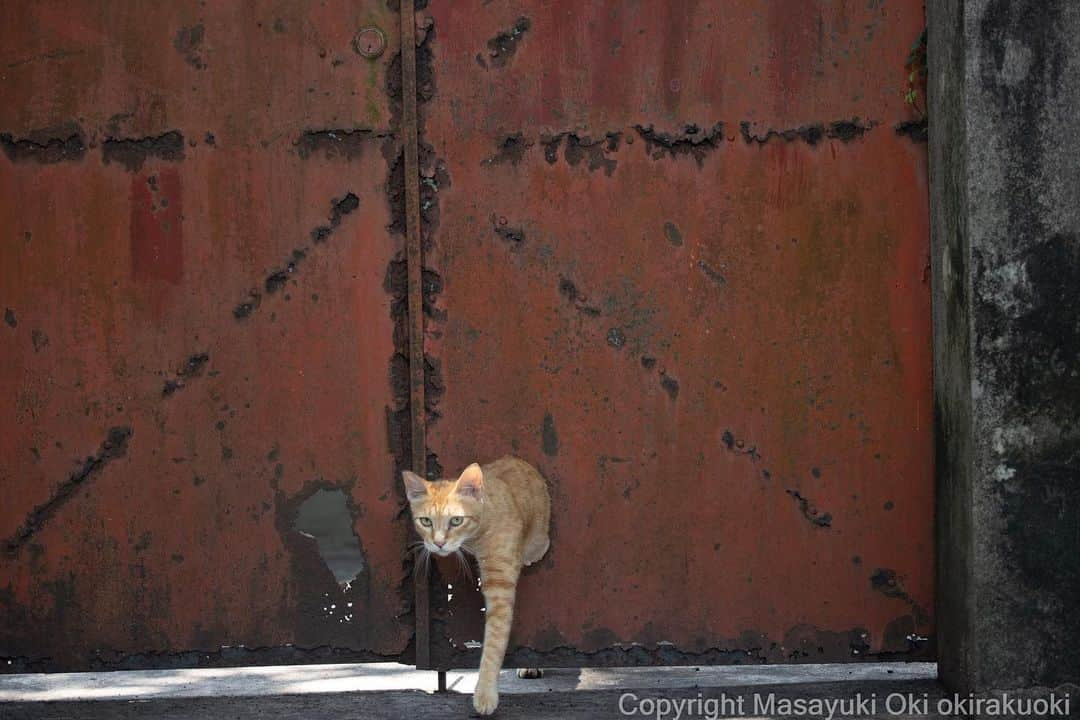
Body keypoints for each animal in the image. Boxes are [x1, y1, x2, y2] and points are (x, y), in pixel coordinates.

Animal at [406, 455, 557, 716]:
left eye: (456, 520)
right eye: (425, 521)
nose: (438, 544)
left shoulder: (500, 586)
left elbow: (494, 644)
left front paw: (485, 694)